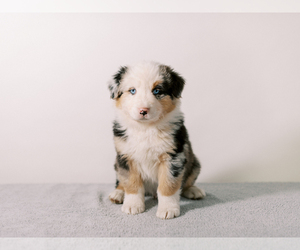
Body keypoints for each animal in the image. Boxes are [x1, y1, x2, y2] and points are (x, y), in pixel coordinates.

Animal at [107, 61, 204, 219]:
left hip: (194, 163)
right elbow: (131, 183)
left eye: (157, 91)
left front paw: (168, 209)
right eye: (132, 91)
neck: (146, 128)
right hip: (117, 163)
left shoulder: (173, 156)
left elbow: (168, 185)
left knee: (187, 181)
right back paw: (118, 193)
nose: (143, 110)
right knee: (120, 180)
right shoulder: (125, 156)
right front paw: (133, 206)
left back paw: (193, 190)